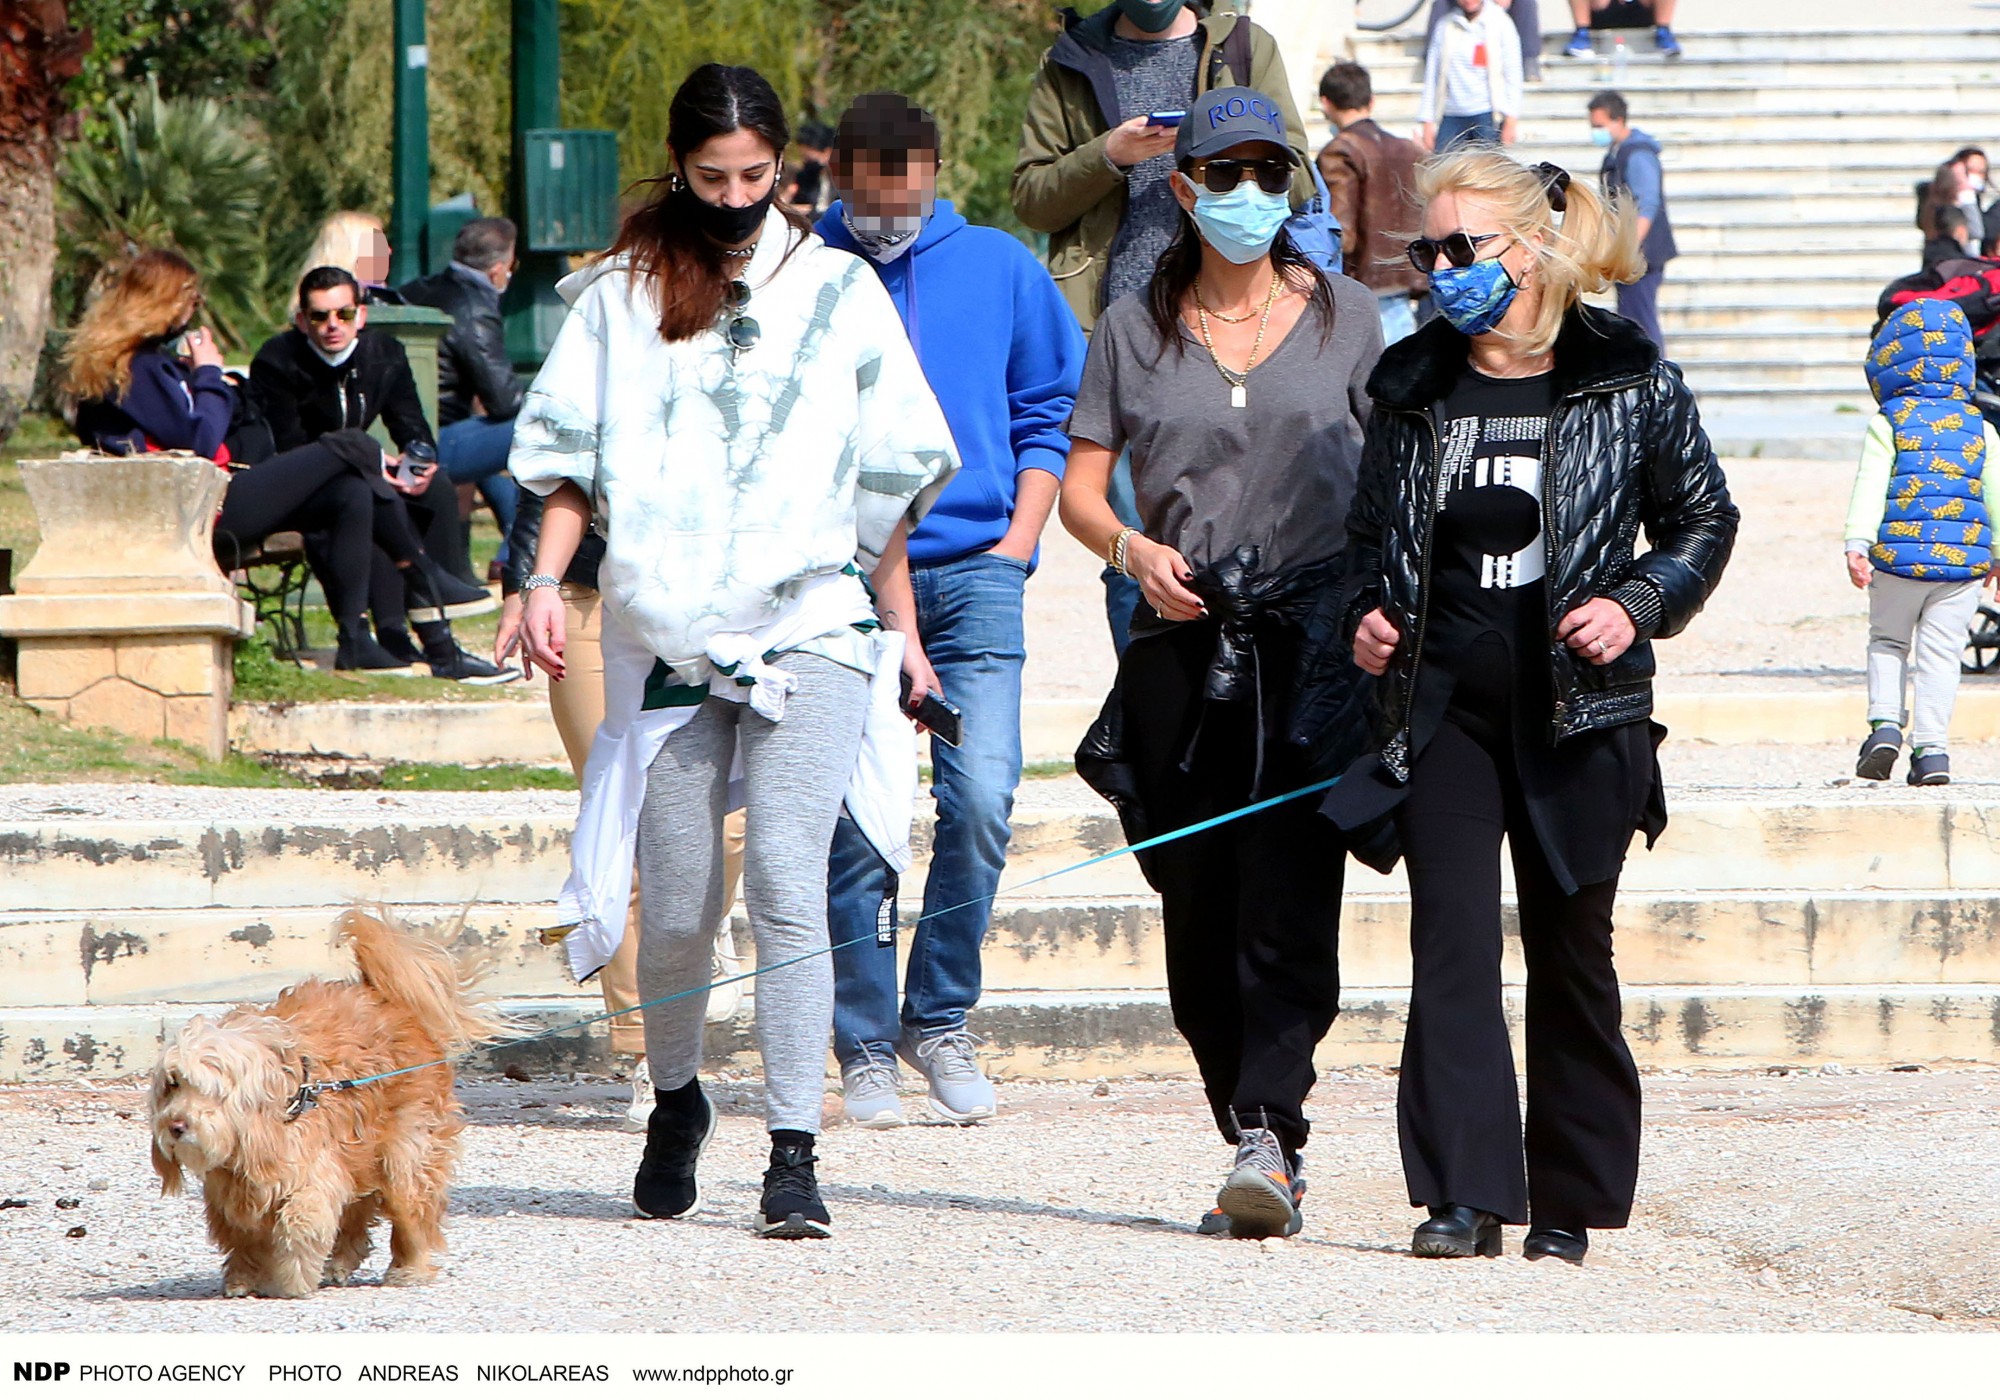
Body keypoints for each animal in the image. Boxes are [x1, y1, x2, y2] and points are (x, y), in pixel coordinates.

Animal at [149, 912, 508, 1296]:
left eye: (213, 1090)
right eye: (174, 1083)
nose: (176, 1126)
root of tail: (392, 1000)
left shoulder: (312, 1176)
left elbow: (300, 1224)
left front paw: (291, 1281)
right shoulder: (232, 1190)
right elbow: (241, 1235)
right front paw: (242, 1278)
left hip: (405, 1154)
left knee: (410, 1211)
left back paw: (409, 1268)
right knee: (358, 1210)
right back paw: (341, 1262)